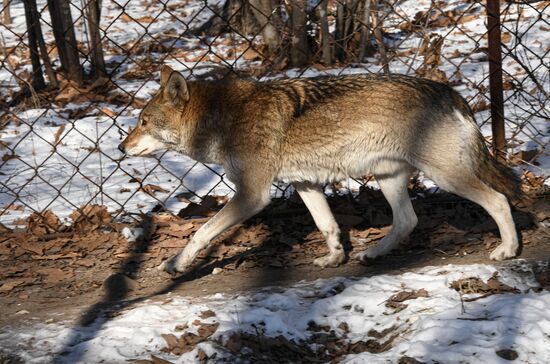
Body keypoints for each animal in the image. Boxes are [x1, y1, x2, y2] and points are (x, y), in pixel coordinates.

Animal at [118, 66, 524, 272]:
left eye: (142, 122)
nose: (121, 148)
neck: (219, 118)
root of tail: (448, 91)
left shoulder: (252, 195)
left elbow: (200, 233)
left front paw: (176, 263)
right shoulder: (305, 184)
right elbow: (327, 225)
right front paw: (334, 257)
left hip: (445, 176)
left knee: (499, 200)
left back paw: (507, 250)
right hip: (388, 178)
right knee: (407, 221)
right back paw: (372, 255)